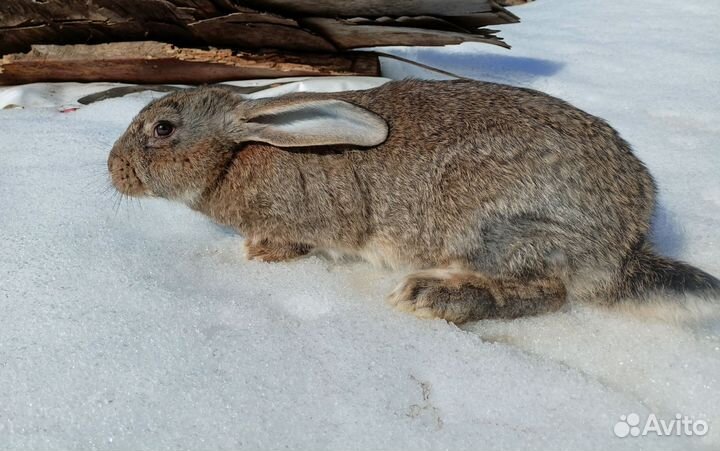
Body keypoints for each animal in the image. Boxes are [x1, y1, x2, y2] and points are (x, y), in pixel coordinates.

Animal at [107, 79, 720, 324]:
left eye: (163, 129)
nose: (113, 169)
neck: (239, 152)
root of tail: (626, 246)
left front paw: (258, 253)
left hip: (499, 229)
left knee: (546, 292)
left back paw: (435, 296)